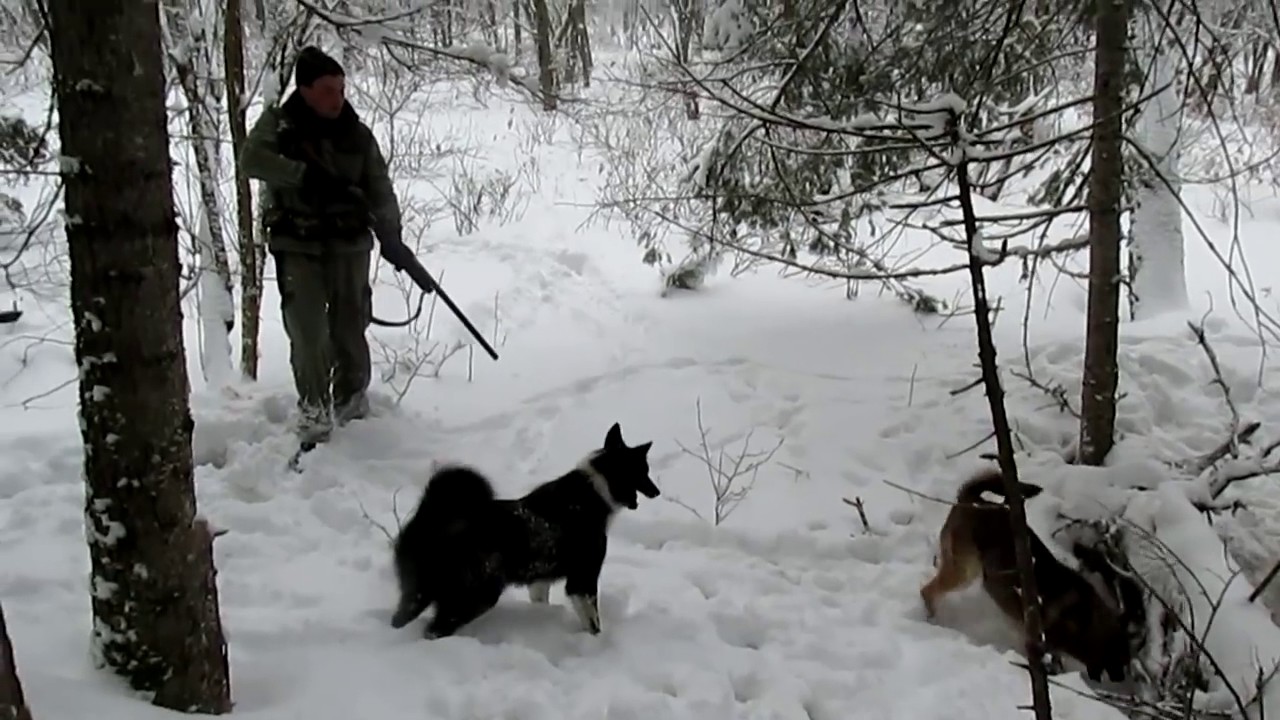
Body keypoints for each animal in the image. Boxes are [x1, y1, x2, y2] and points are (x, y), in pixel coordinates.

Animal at [386, 417, 660, 635]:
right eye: (643, 470)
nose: (657, 492)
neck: (595, 488)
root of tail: (432, 519)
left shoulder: (539, 581)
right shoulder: (583, 580)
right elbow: (593, 623)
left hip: (418, 594)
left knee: (400, 619)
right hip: (477, 595)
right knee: (435, 629)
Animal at [921, 466, 1141, 676]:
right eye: (1118, 659)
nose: (1120, 679)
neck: (1085, 621)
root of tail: (972, 499)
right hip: (964, 570)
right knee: (927, 590)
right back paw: (931, 617)